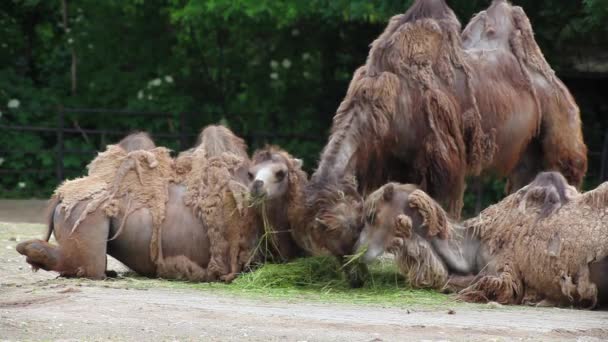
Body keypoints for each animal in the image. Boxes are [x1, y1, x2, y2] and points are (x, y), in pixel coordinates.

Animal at [306, 0, 588, 264]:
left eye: (339, 231)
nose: (348, 263)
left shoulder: (442, 159)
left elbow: (441, 204)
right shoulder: (391, 161)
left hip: (558, 124)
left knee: (565, 170)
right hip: (526, 148)